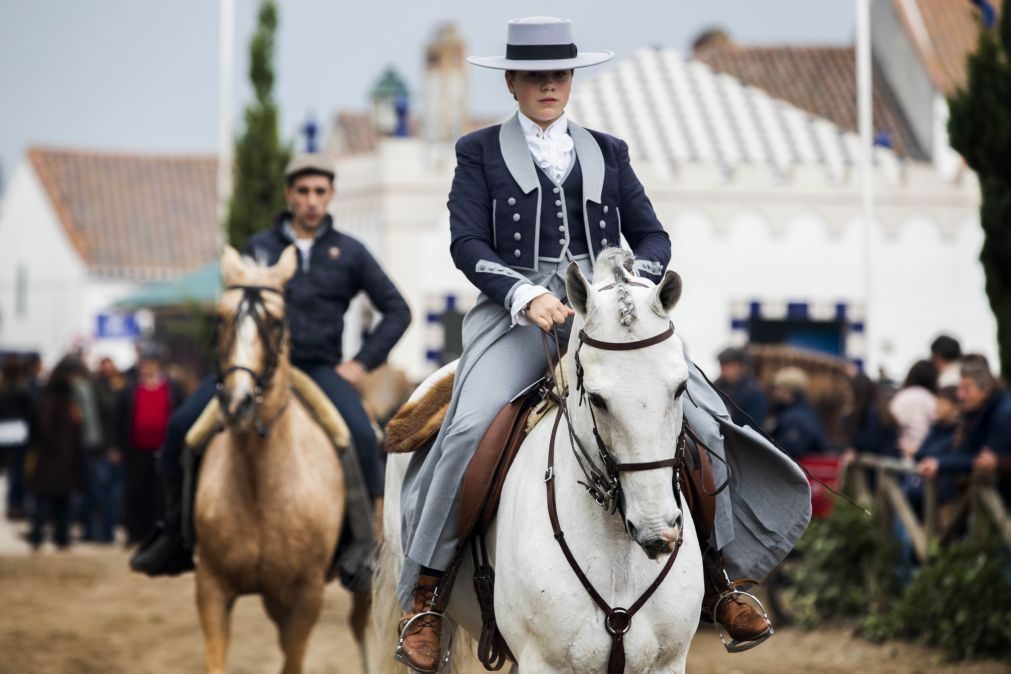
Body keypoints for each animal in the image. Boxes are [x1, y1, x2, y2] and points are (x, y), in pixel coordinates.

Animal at [193, 247, 363, 674]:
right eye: (221, 317)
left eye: (274, 321)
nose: (237, 404)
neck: (260, 479)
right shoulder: (211, 588)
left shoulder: (305, 597)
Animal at [372, 254, 703, 674]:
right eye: (597, 398)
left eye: (680, 388)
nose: (657, 530)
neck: (618, 553)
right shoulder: (543, 662)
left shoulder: (666, 663)